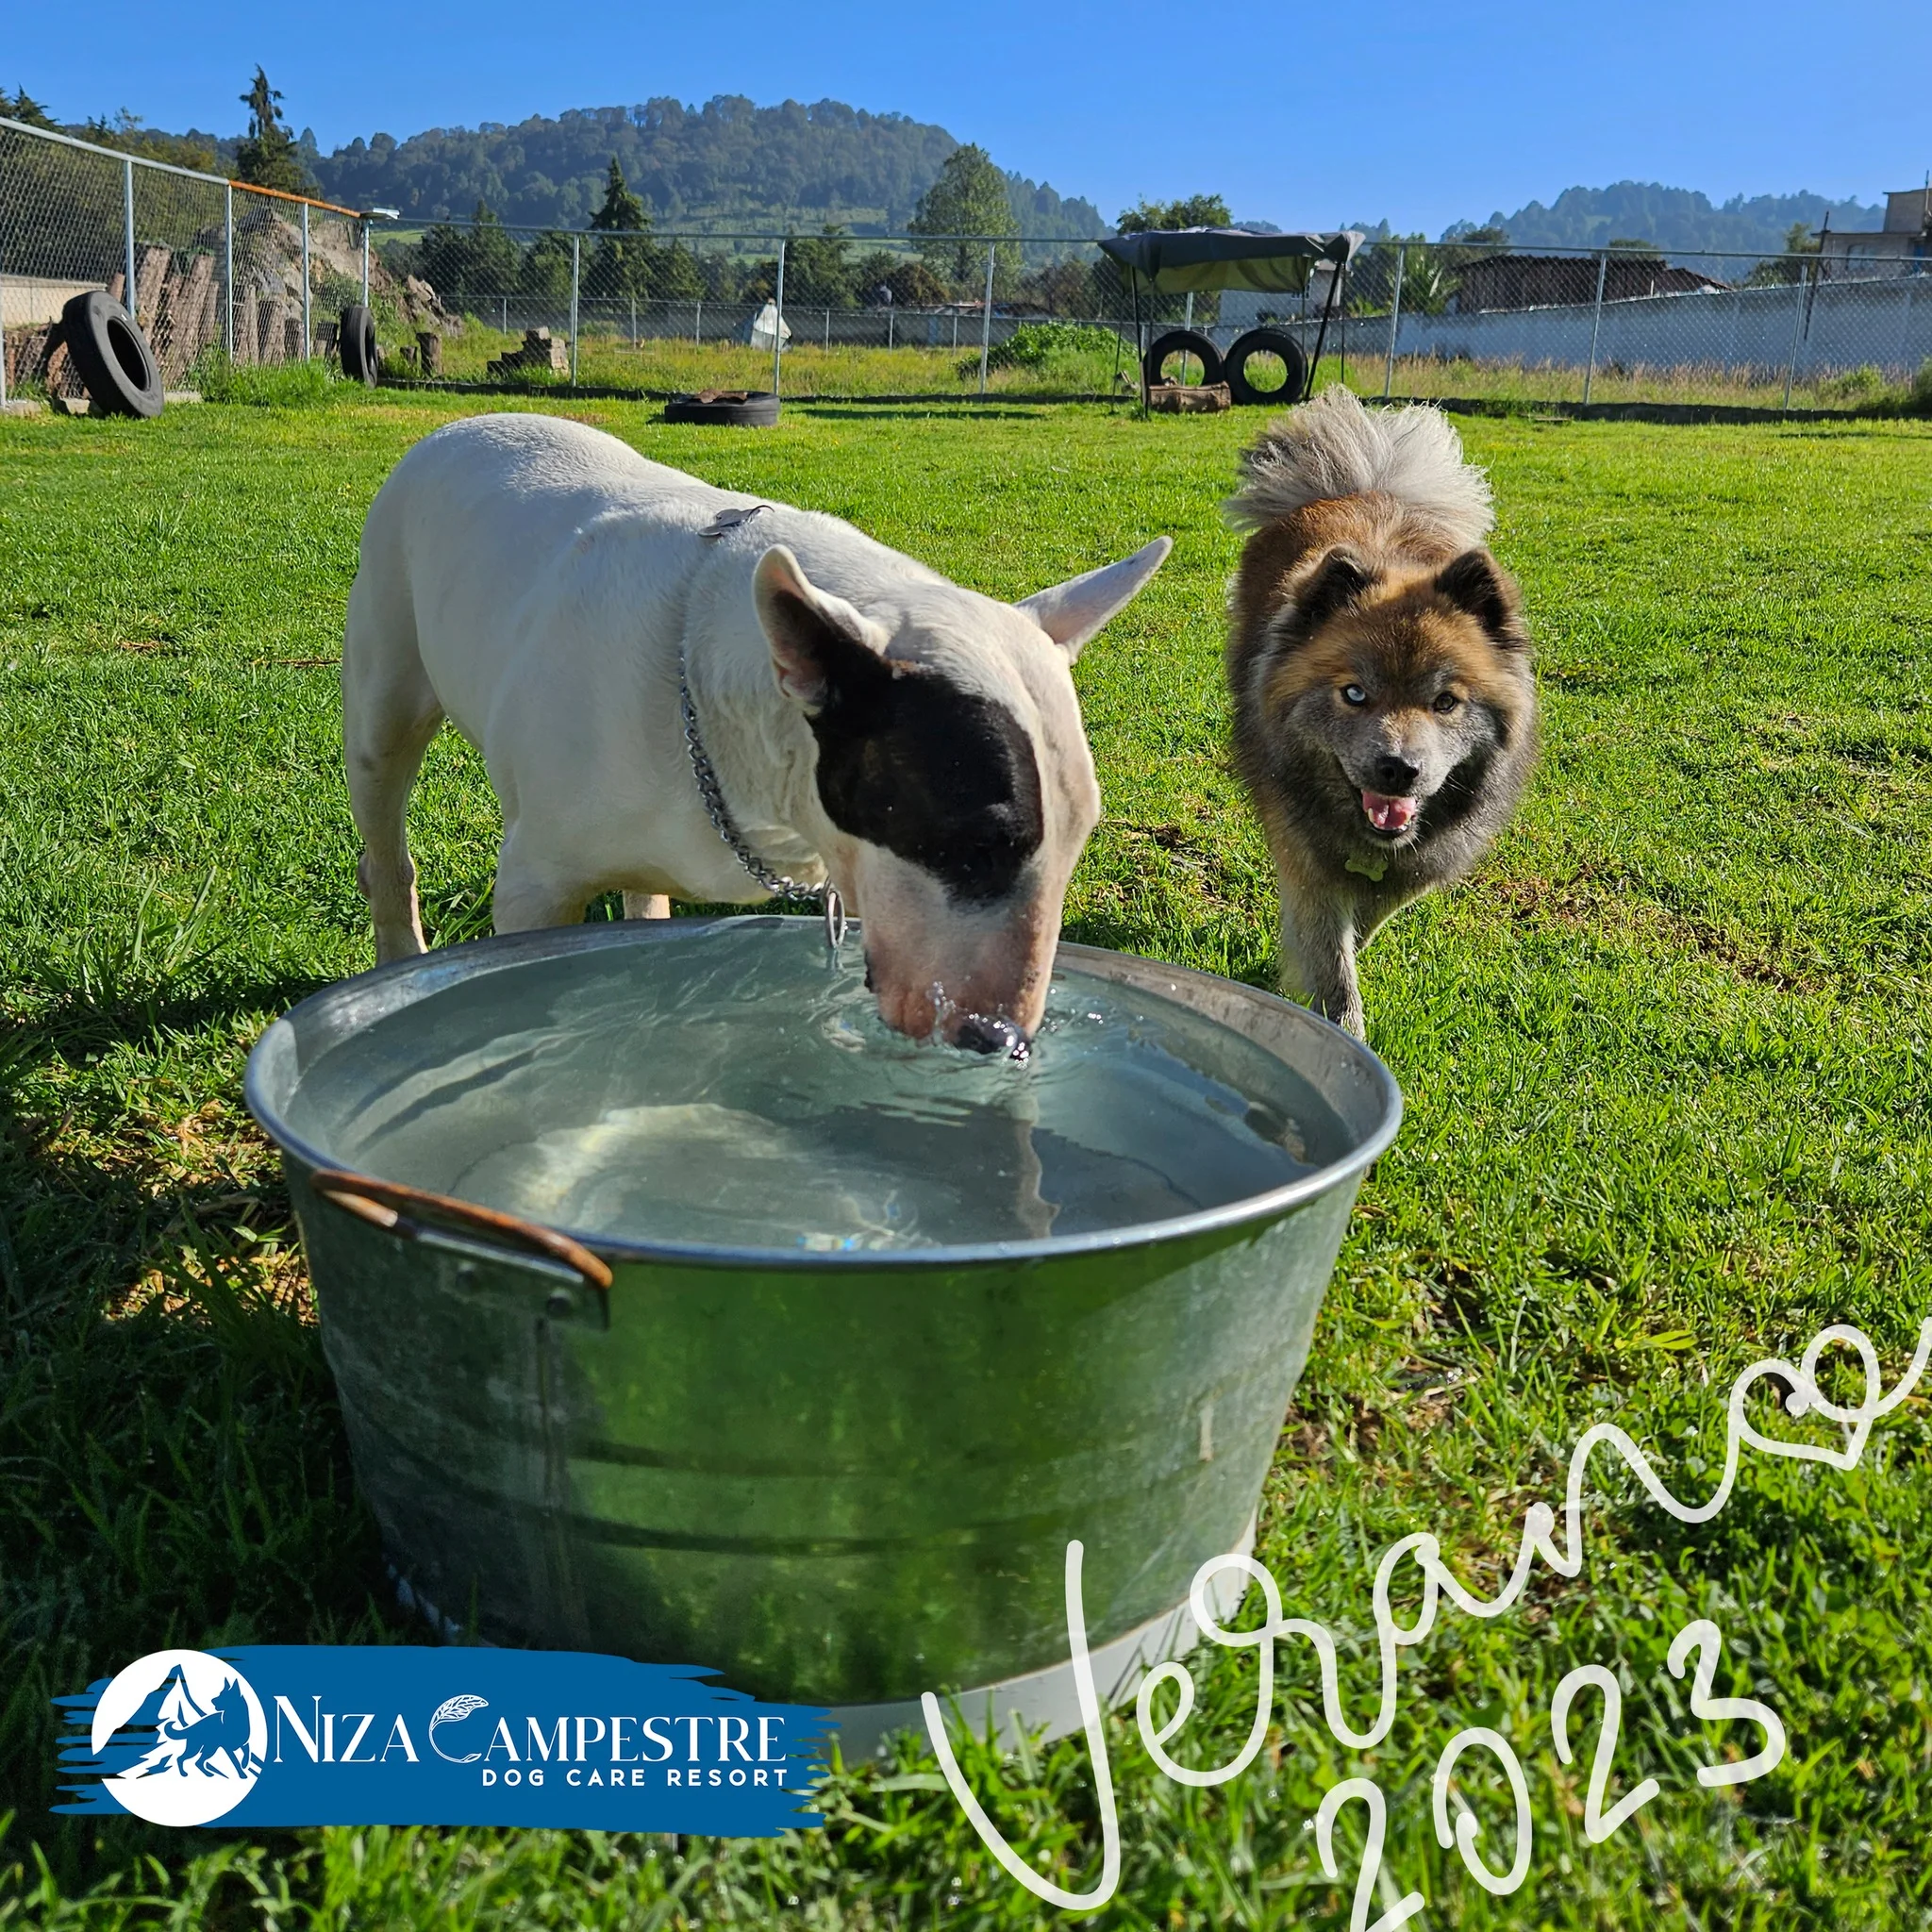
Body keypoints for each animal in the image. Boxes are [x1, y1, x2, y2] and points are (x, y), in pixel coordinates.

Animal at [340, 415, 1166, 1058]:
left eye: (1077, 840)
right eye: (974, 847)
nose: (1000, 1041)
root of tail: (459, 427)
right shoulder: (533, 890)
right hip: (384, 680)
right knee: (385, 825)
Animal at [1228, 382, 1530, 1035]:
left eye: (1445, 702)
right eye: (1355, 694)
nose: (1399, 769)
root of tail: (1364, 485)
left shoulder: (1417, 869)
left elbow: (1366, 922)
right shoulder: (1305, 863)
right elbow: (1333, 967)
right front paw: (1340, 1028)